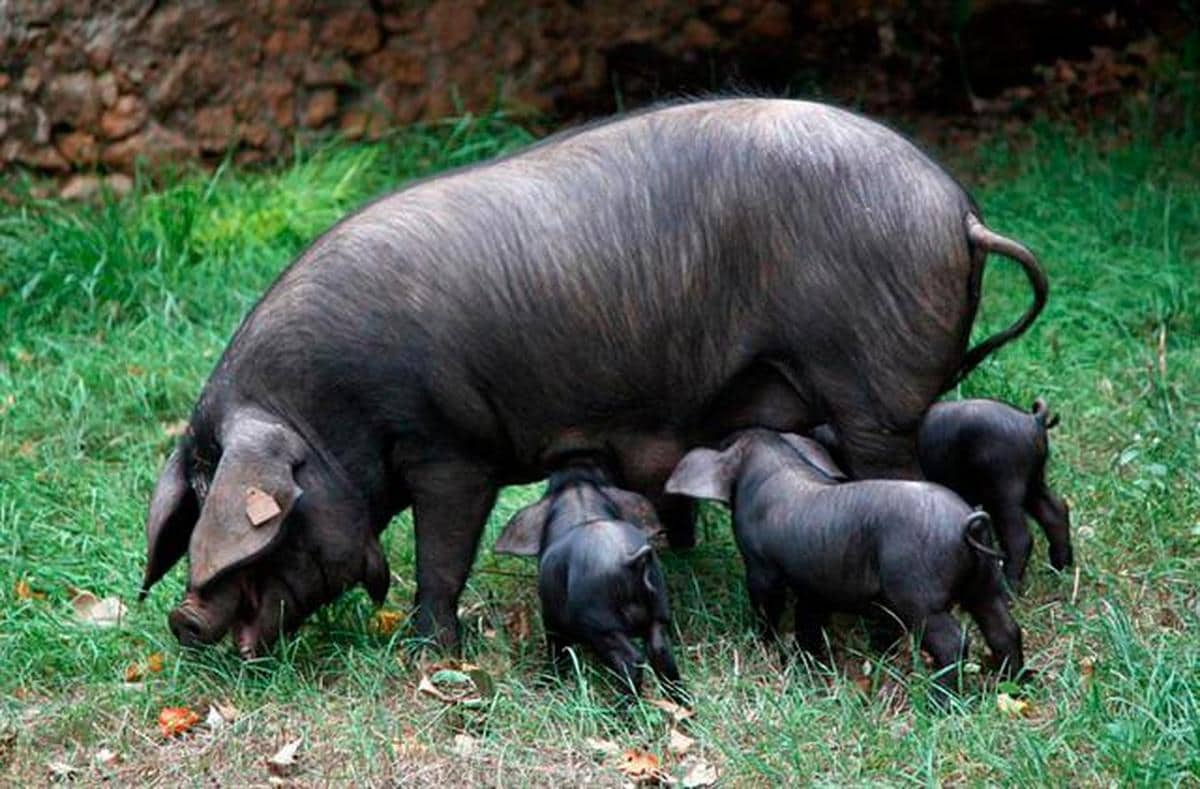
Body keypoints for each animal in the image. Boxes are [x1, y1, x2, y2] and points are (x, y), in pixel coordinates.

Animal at [140, 96, 1046, 652]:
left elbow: (443, 550)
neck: (333, 413)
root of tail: (961, 213)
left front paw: (425, 646)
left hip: (873, 394)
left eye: (270, 521)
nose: (184, 617)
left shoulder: (452, 448)